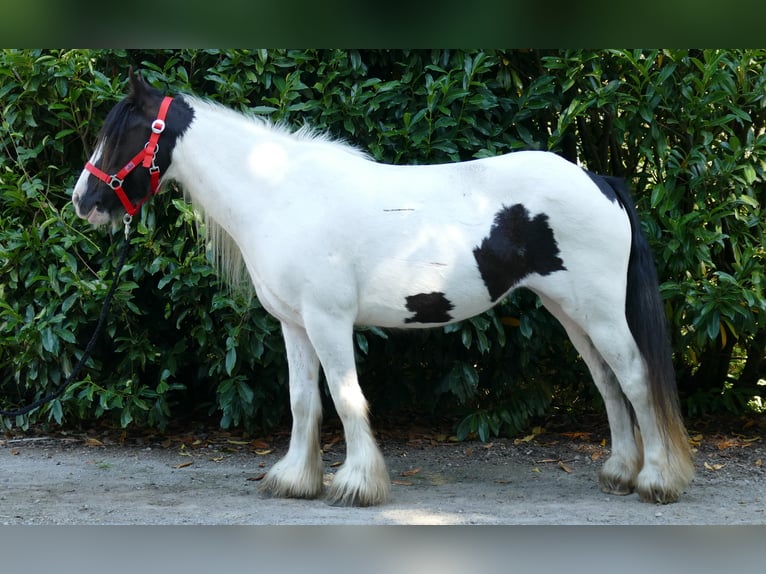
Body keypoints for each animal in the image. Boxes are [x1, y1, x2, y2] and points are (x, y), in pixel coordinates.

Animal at [72, 71, 696, 508]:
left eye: (122, 135)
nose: (83, 201)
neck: (282, 195)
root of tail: (599, 179)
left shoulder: (327, 320)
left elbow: (346, 397)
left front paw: (357, 485)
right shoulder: (295, 324)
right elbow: (303, 400)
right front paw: (295, 479)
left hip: (600, 312)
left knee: (635, 378)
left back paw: (657, 480)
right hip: (571, 312)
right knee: (608, 384)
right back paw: (619, 473)